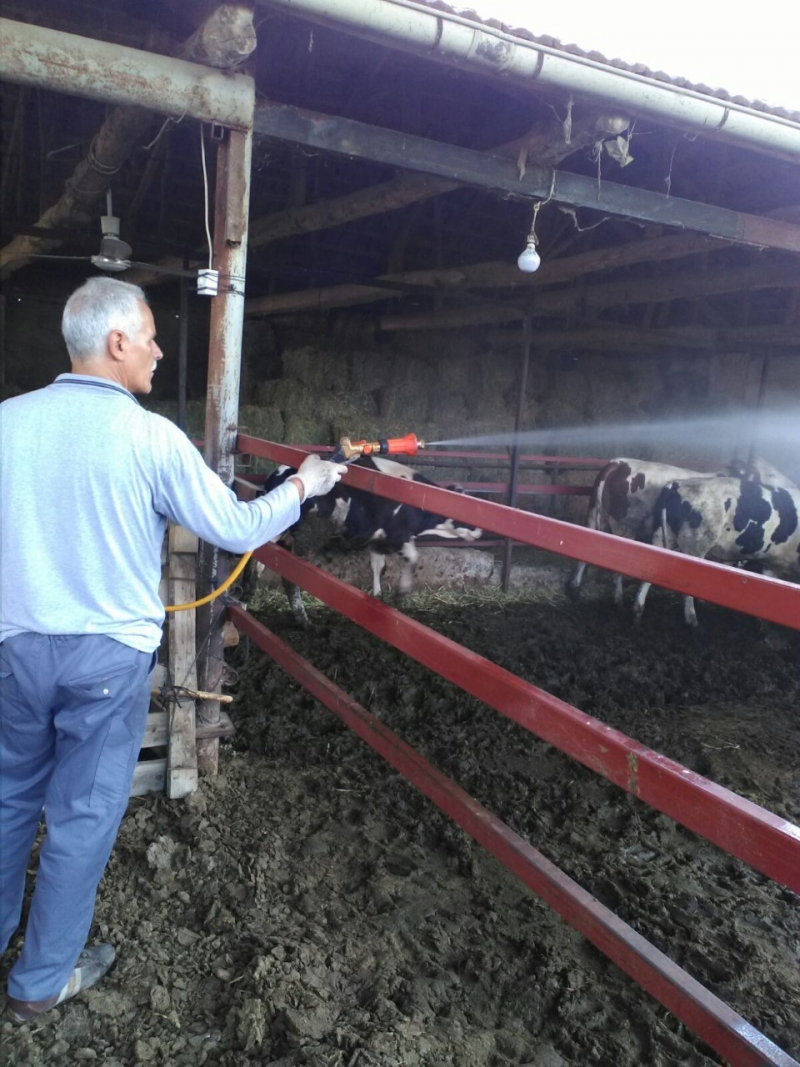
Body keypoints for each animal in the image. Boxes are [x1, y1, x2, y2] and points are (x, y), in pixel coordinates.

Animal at [260, 452, 482, 623]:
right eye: (466, 509)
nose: (480, 531)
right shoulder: (397, 536)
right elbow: (413, 557)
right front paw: (401, 592)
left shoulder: (378, 540)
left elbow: (378, 567)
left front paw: (377, 597)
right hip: (307, 538)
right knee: (290, 576)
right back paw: (302, 619)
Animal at [631, 475, 800, 623]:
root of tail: (676, 484)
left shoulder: (772, 564)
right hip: (695, 546)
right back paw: (693, 622)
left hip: (660, 537)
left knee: (649, 571)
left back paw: (638, 612)